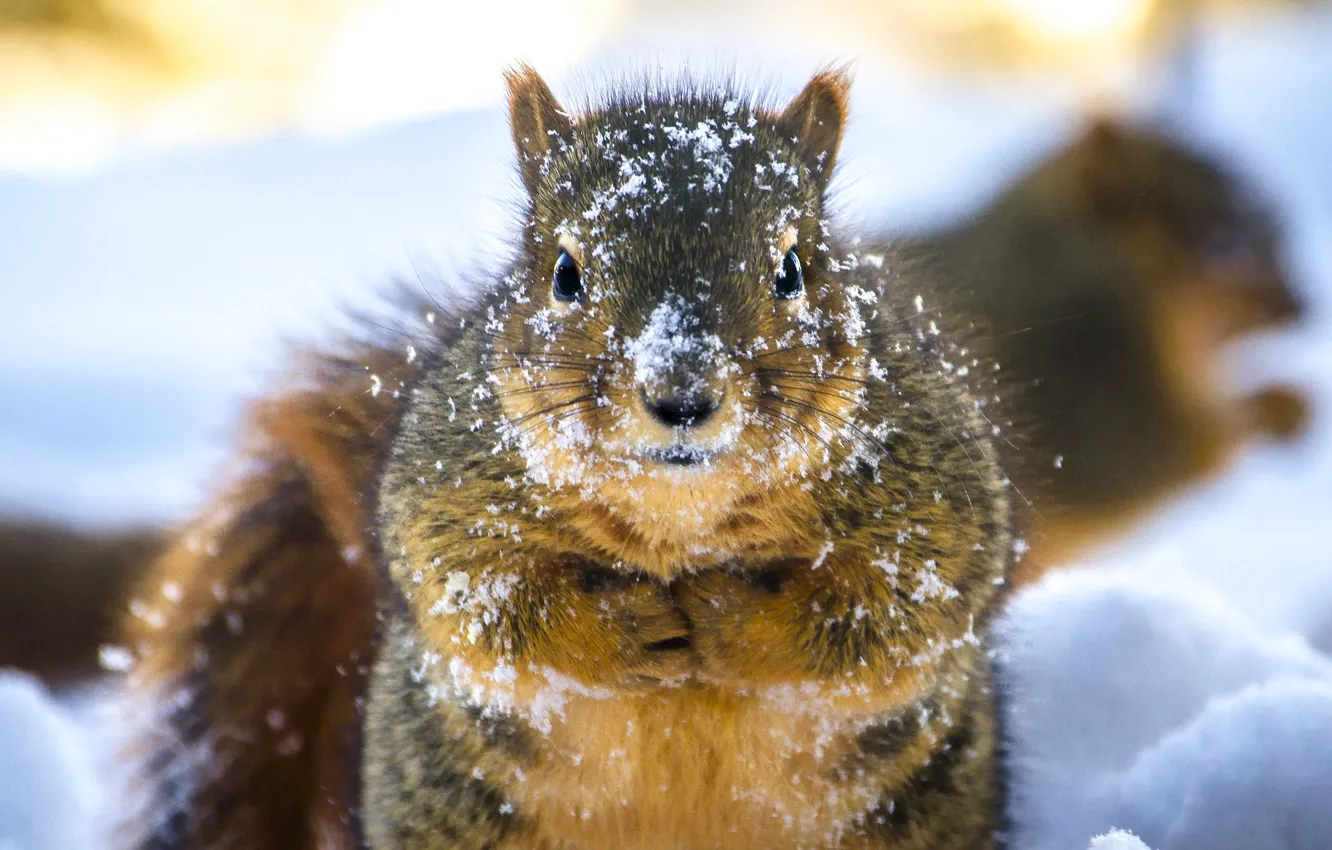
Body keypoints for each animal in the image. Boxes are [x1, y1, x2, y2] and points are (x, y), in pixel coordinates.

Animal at [117, 68, 1006, 850]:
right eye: (565, 273)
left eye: (792, 269)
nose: (682, 395)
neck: (681, 516)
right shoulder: (440, 492)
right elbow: (489, 611)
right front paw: (625, 628)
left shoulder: (937, 501)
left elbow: (890, 618)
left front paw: (727, 615)